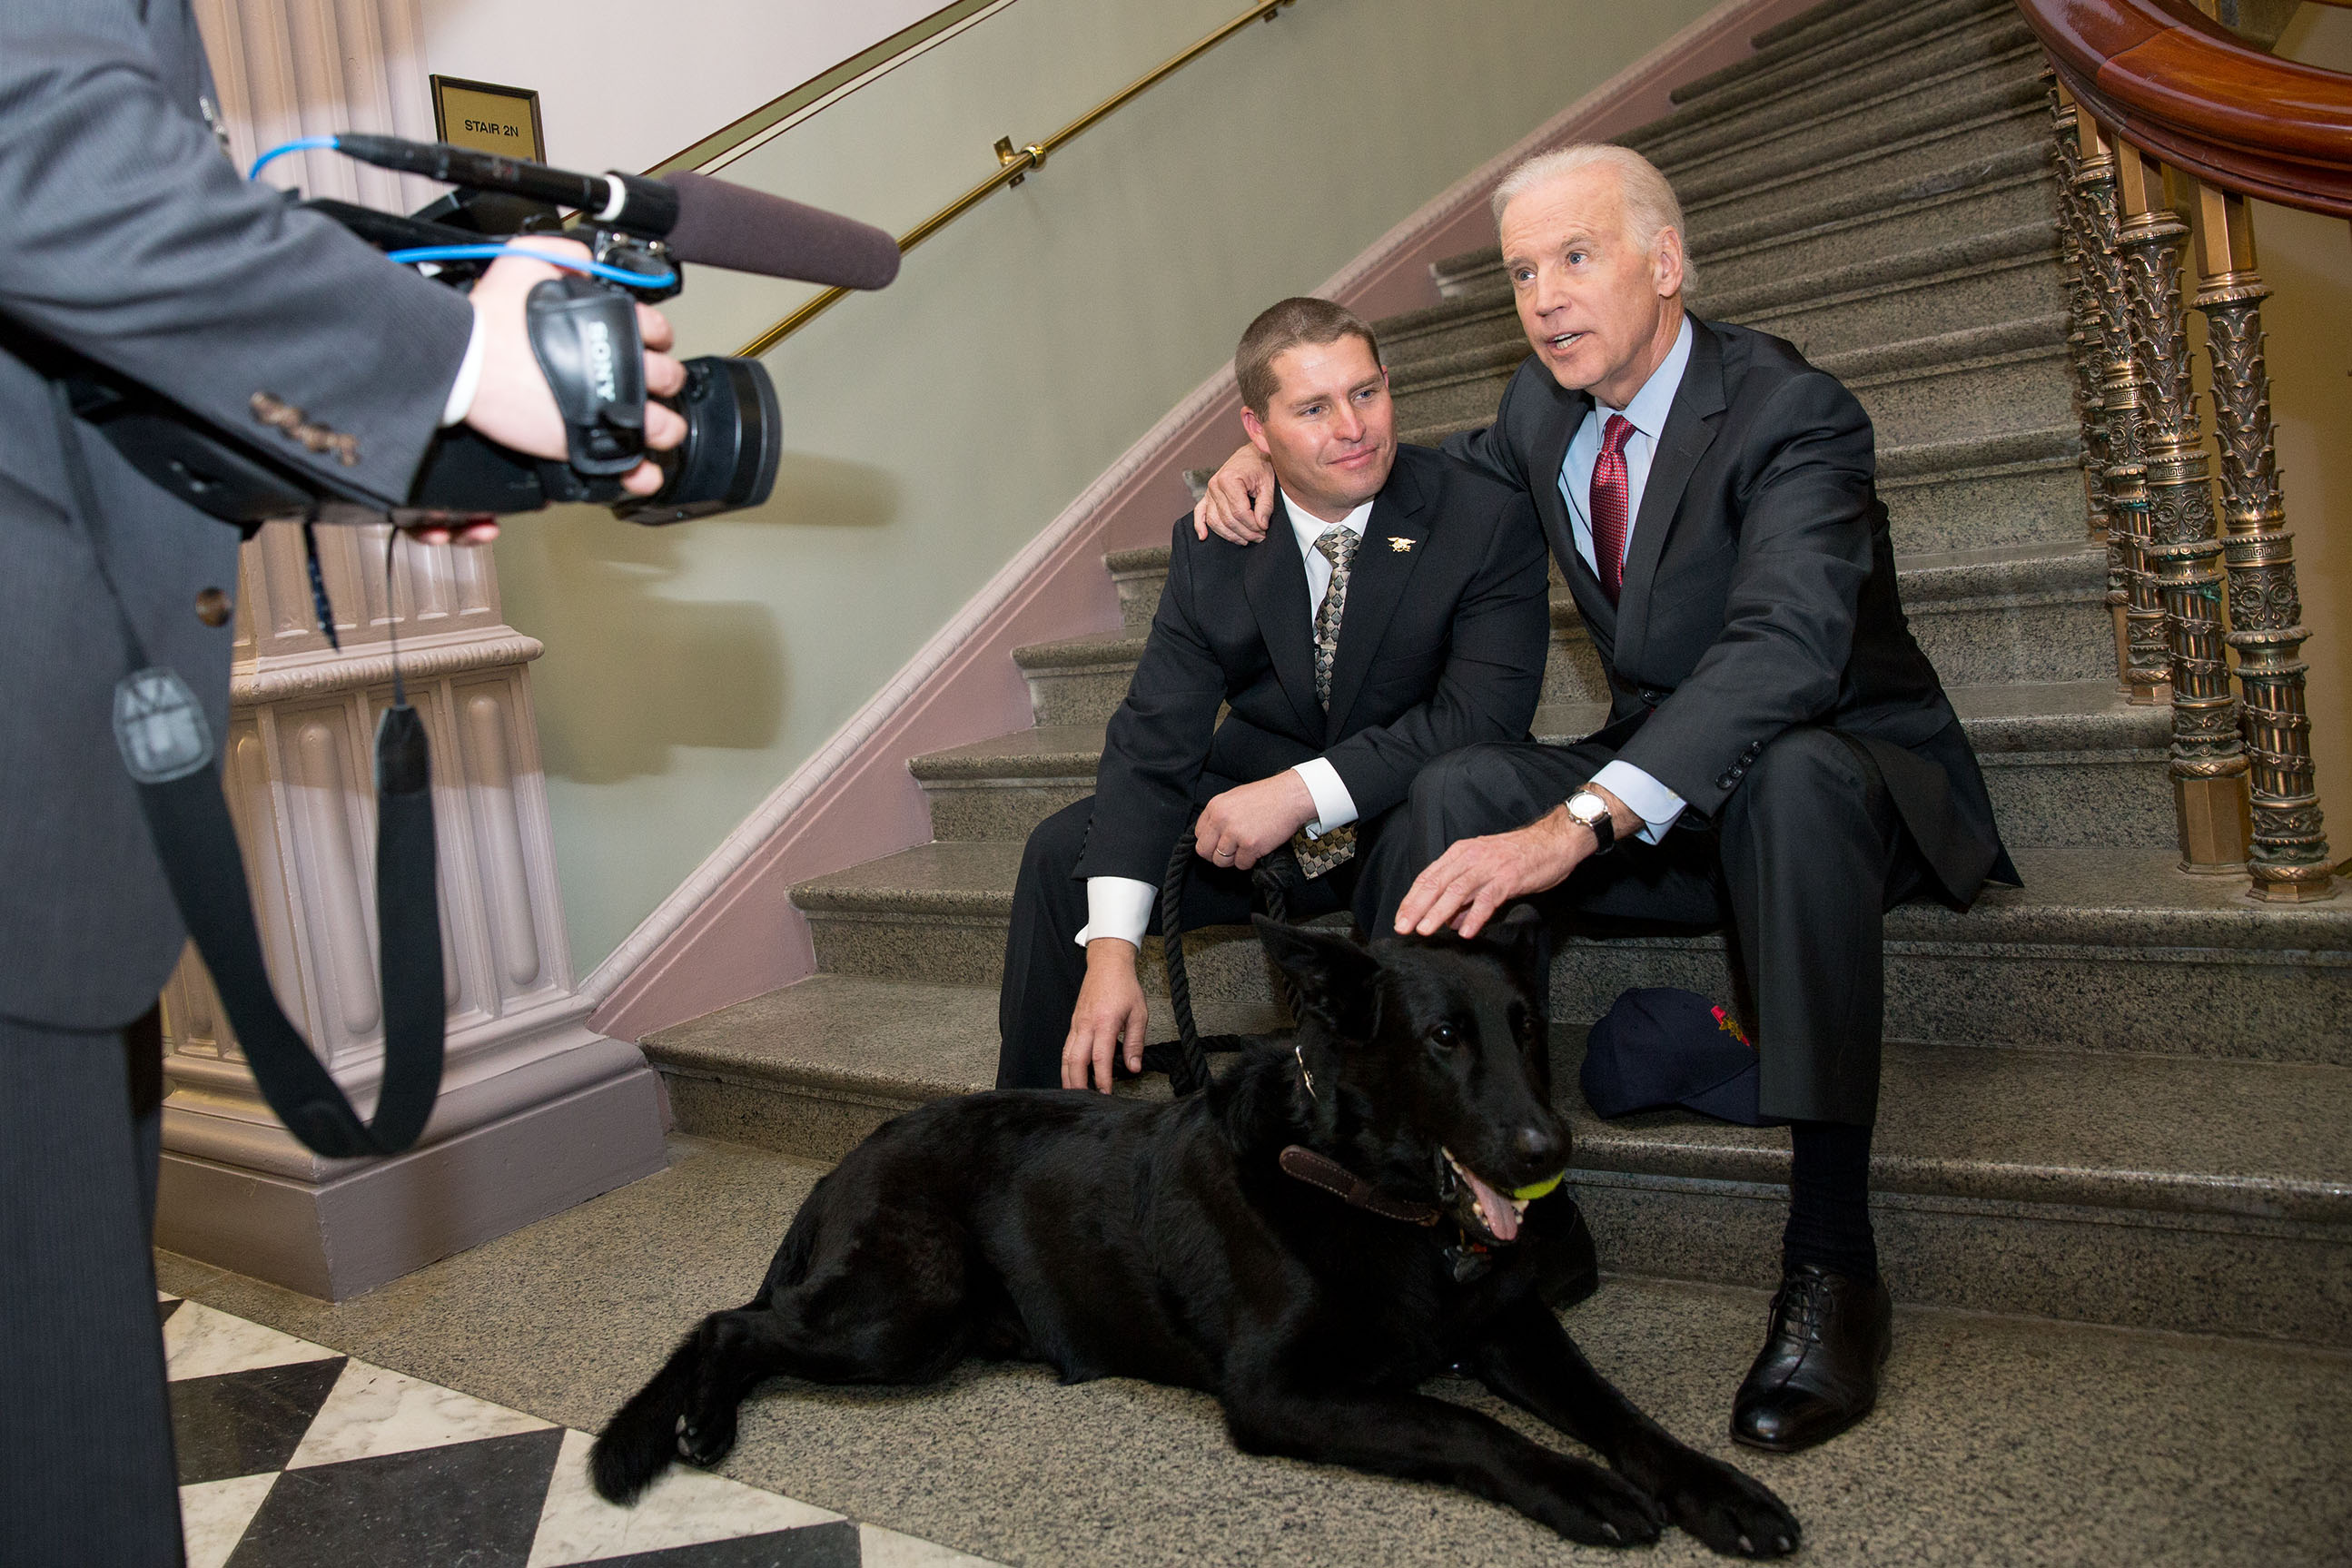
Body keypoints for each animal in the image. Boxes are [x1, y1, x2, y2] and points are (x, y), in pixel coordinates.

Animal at [592, 907, 1796, 1561]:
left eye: (1527, 1028)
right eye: (1444, 1039)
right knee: (726, 1322)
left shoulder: (1511, 1332)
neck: (1366, 1192)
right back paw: (690, 1423)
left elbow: (1623, 1413)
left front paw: (1717, 1491)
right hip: (906, 1312)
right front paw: (1581, 1487)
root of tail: (854, 1151)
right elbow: (1465, 1426)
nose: (1551, 1151)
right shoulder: (1276, 1391)